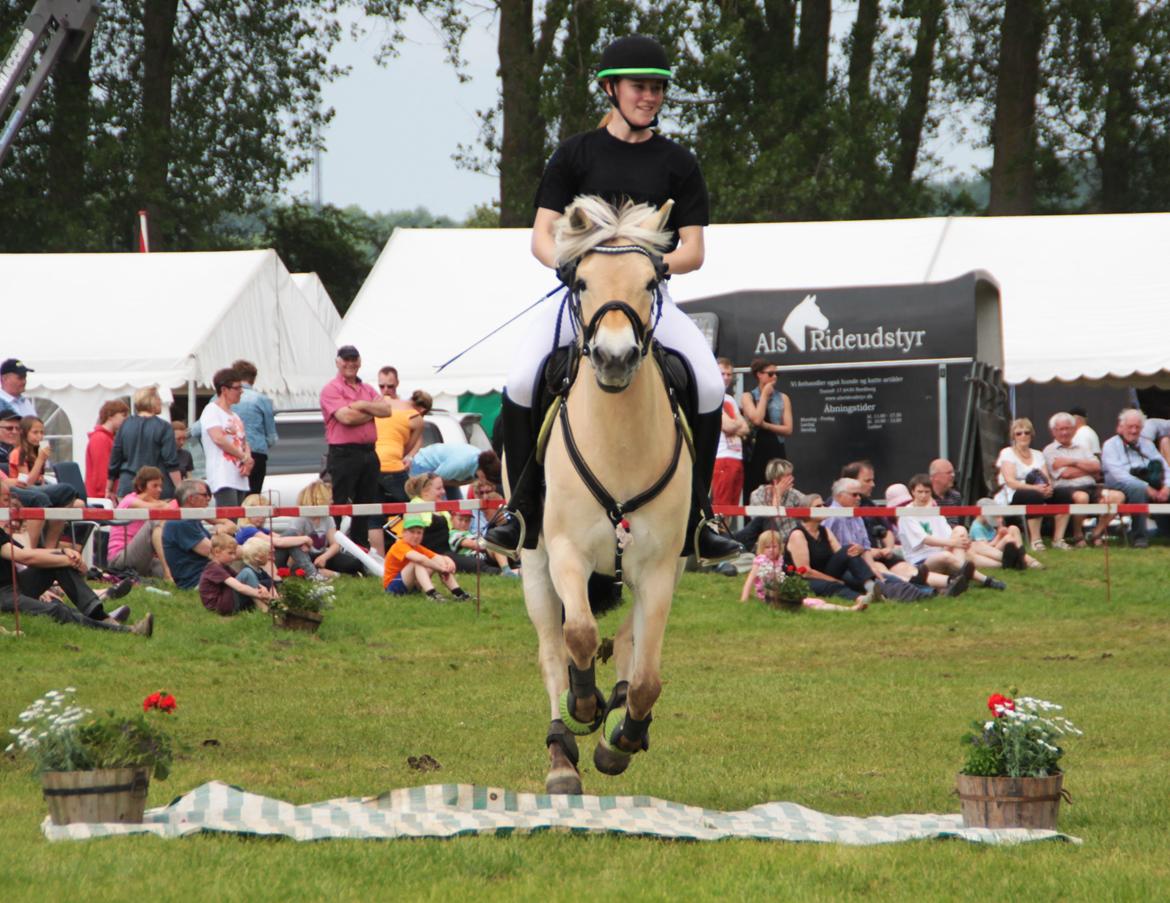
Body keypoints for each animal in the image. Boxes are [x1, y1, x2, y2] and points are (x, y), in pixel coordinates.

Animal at [517, 195, 687, 790]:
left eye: (651, 281)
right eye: (582, 281)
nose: (615, 359)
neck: (620, 439)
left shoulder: (659, 567)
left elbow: (648, 676)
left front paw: (623, 736)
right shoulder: (565, 551)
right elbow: (580, 636)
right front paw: (583, 703)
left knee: (633, 649)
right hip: (533, 564)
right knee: (550, 649)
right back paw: (560, 758)